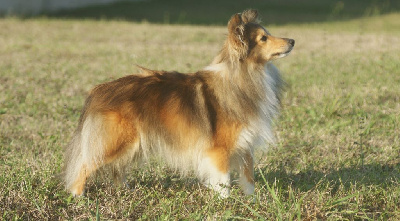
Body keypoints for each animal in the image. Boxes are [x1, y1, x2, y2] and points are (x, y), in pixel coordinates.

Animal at [63, 9, 294, 198]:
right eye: (264, 38)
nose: (292, 41)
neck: (245, 75)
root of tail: (98, 91)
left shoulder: (245, 145)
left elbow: (248, 179)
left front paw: (252, 202)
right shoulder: (219, 149)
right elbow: (223, 181)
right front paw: (226, 204)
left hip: (134, 143)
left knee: (117, 169)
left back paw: (126, 190)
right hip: (116, 140)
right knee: (85, 164)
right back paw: (77, 196)